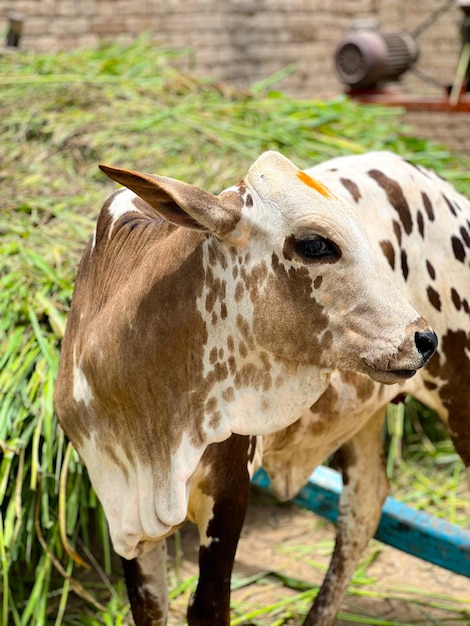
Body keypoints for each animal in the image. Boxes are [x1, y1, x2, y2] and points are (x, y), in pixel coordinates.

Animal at [53, 149, 436, 620]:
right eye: (316, 244)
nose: (423, 339)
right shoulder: (122, 510)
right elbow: (149, 604)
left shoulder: (230, 489)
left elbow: (208, 604)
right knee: (362, 507)